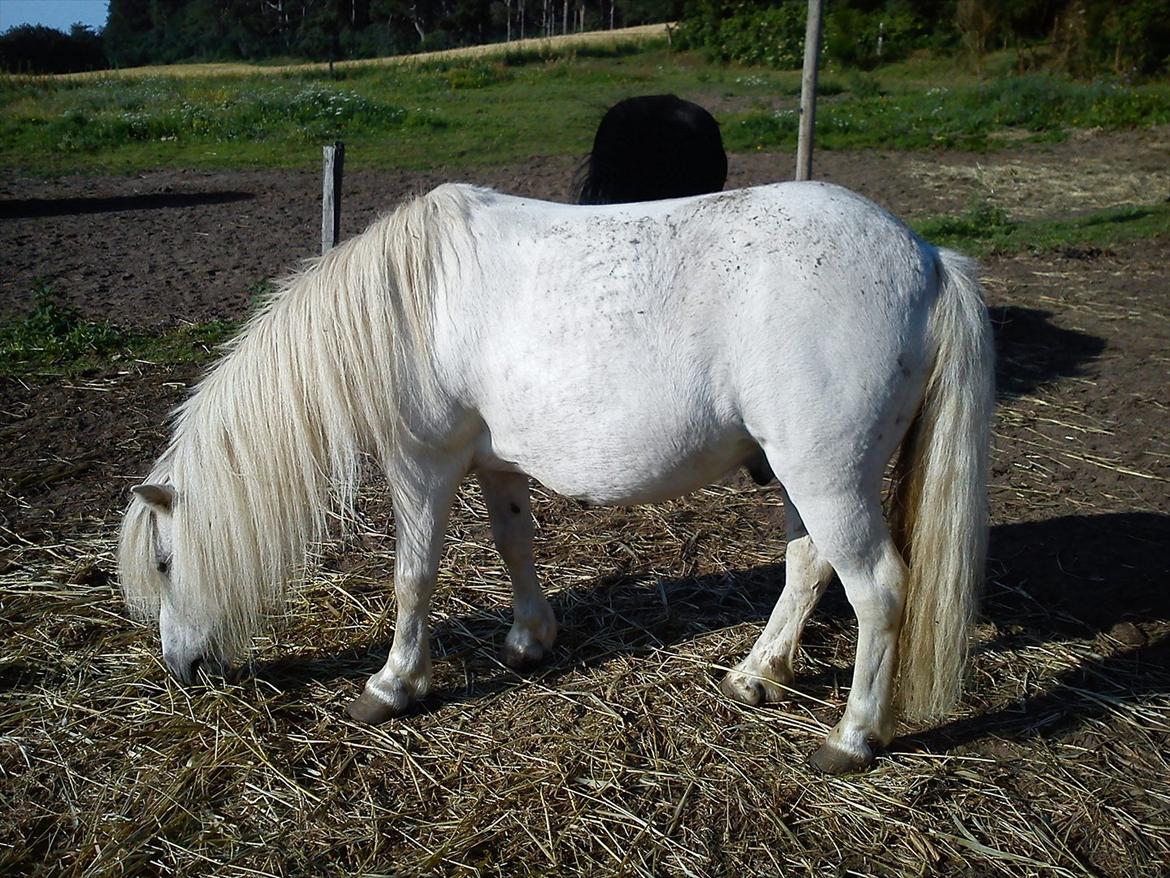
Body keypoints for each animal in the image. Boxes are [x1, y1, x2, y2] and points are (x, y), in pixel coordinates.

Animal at [119, 181, 994, 773]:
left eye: (165, 561)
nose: (181, 670)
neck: (408, 305)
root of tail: (929, 260)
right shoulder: (496, 463)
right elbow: (514, 547)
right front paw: (529, 640)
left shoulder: (423, 464)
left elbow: (412, 576)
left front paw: (395, 684)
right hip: (797, 476)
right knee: (808, 565)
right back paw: (757, 675)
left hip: (827, 479)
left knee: (878, 590)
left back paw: (852, 736)